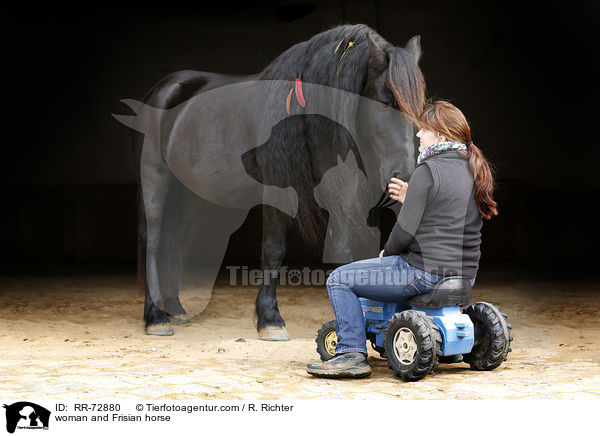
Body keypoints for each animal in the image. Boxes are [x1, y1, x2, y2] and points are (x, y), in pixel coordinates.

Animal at [128, 23, 424, 338]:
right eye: (385, 102)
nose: (405, 177)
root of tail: (160, 91)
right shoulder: (278, 191)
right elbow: (273, 249)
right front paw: (270, 319)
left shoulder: (347, 195)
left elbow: (350, 250)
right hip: (155, 180)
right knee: (154, 240)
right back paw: (156, 317)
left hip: (189, 193)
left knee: (174, 239)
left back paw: (175, 309)